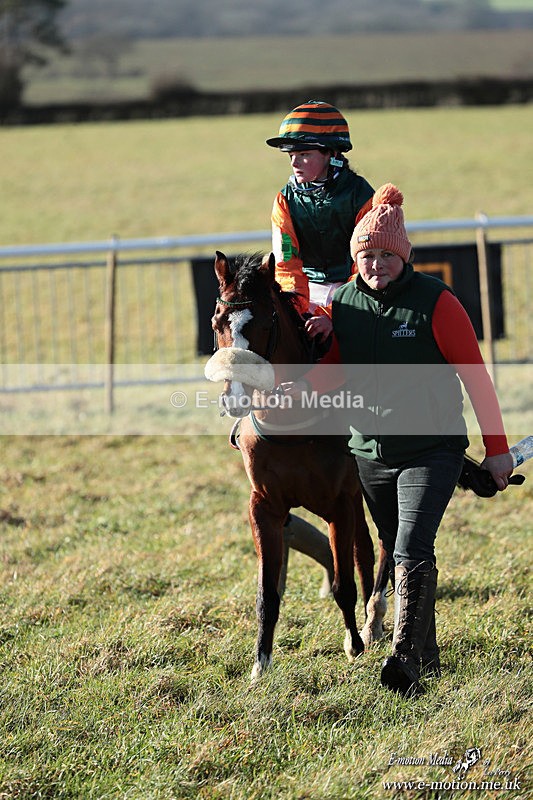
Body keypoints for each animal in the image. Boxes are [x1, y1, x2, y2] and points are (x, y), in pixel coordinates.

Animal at [205, 251, 388, 682]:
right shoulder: (265, 507)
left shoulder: (339, 502)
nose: (235, 398)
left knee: (386, 545)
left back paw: (375, 617)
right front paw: (260, 662)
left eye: (265, 323)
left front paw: (354, 644)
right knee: (365, 549)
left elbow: (343, 584)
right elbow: (267, 592)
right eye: (219, 322)